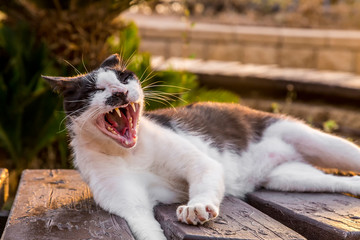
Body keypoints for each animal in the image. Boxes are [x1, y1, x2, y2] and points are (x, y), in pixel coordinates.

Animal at [43, 54, 360, 240]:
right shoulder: (127, 203)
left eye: (124, 78)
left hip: (312, 140)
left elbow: (203, 178)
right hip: (287, 177)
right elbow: (144, 224)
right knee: (337, 182)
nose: (120, 92)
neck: (130, 153)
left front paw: (196, 208)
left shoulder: (201, 163)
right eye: (94, 90)